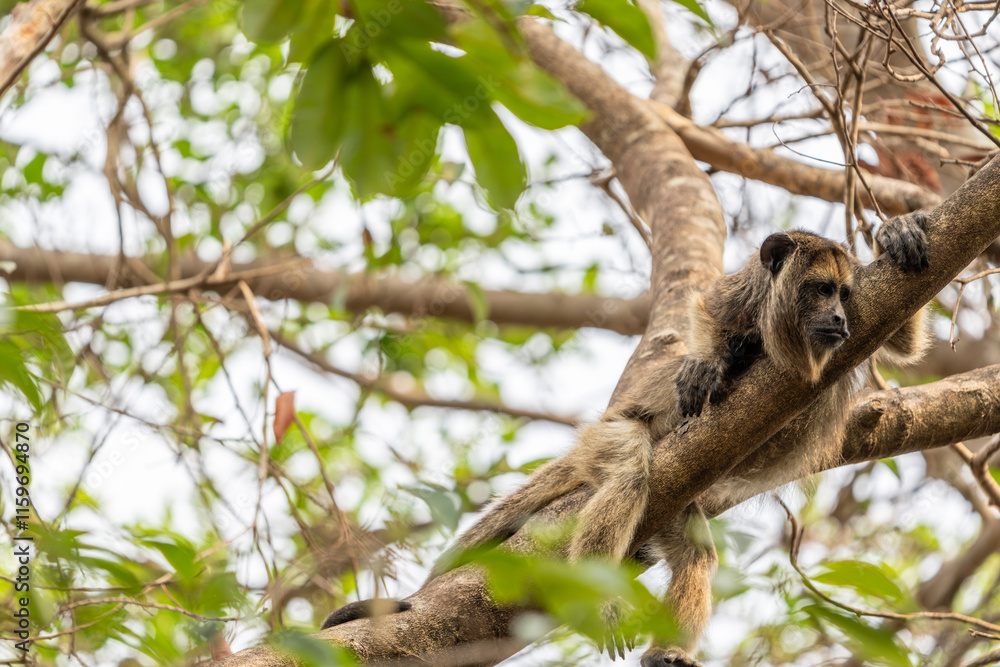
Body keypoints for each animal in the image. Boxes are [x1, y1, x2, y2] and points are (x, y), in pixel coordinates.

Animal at [321, 212, 931, 667]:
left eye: (844, 295)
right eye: (819, 289)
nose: (839, 320)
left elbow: (899, 339)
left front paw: (896, 231)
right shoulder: (744, 294)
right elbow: (708, 311)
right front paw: (708, 362)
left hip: (676, 505)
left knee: (696, 554)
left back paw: (666, 652)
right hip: (610, 437)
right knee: (628, 474)